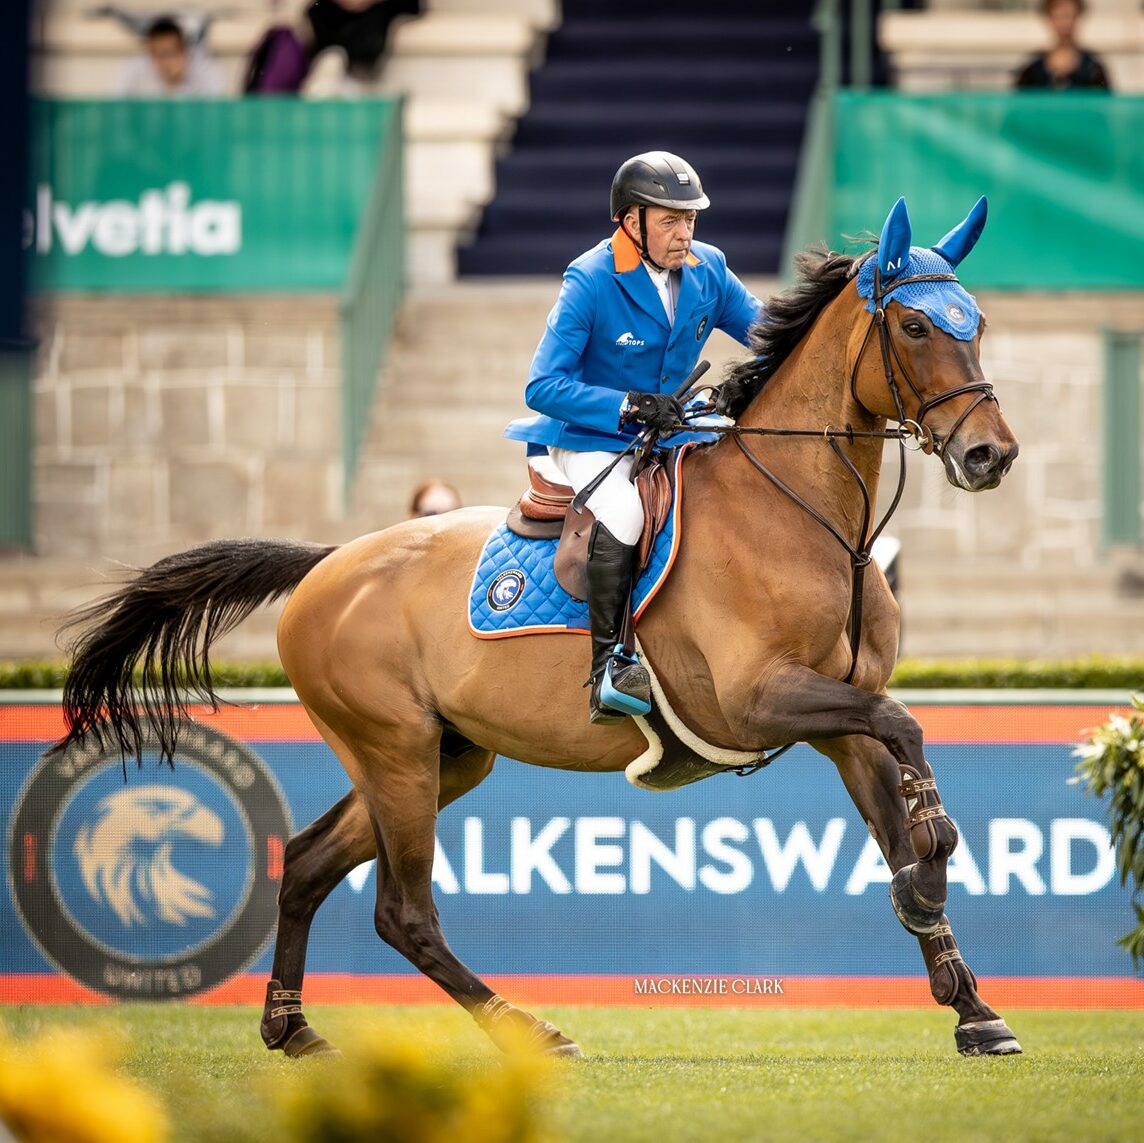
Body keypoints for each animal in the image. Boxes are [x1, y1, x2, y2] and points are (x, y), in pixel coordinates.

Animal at [53, 199, 1020, 1061]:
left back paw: (292, 1028)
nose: (991, 455)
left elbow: (897, 800)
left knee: (305, 861)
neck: (807, 519)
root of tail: (331, 561)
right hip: (397, 753)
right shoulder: (761, 700)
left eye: (976, 322)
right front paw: (932, 873)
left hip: (441, 756)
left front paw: (969, 1002)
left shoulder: (840, 713)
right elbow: (910, 738)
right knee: (402, 911)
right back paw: (528, 1028)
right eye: (915, 327)